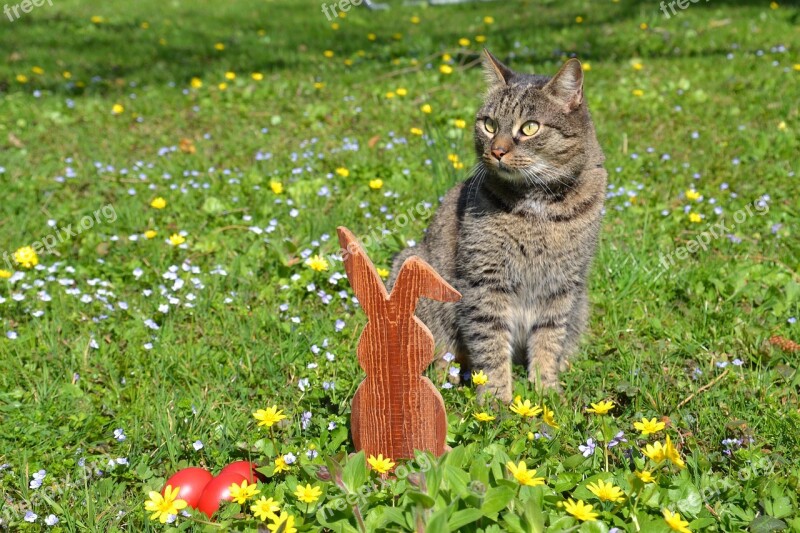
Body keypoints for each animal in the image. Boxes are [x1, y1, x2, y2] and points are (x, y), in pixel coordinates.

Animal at [390, 50, 608, 402]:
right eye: (490, 124)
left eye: (530, 127)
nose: (497, 151)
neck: (537, 204)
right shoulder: (485, 280)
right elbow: (490, 342)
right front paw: (496, 400)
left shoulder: (562, 283)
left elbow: (549, 338)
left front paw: (546, 390)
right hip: (414, 267)